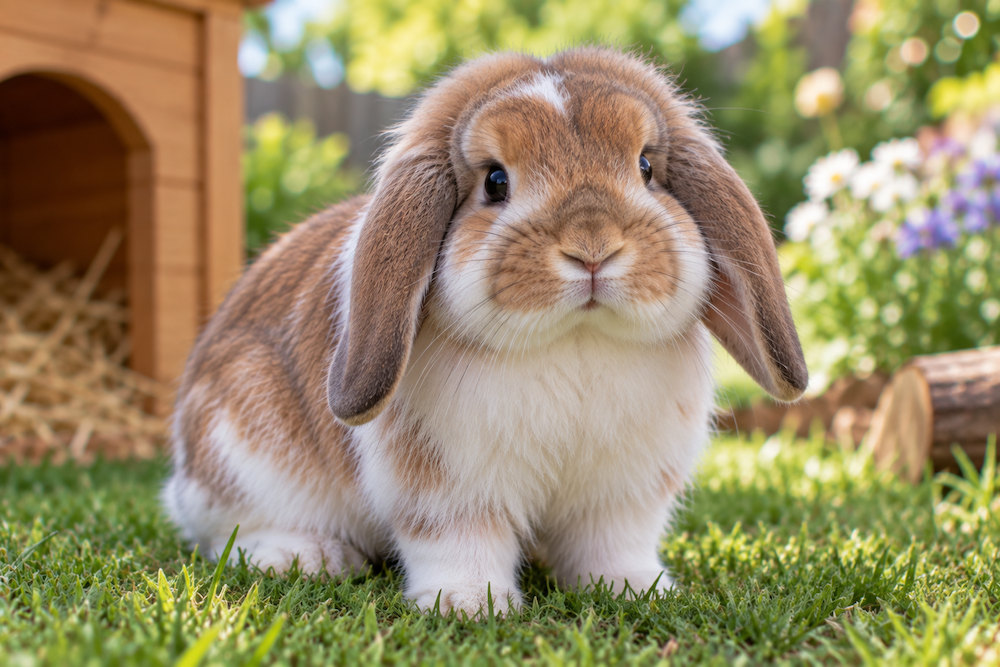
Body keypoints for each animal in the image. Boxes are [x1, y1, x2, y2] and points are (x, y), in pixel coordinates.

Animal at [162, 46, 807, 617]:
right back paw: (309, 557)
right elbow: (458, 543)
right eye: (495, 181)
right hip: (244, 447)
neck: (575, 341)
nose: (592, 246)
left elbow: (615, 547)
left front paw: (638, 592)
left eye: (646, 167)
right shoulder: (448, 489)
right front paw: (470, 606)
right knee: (227, 535)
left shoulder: (624, 494)